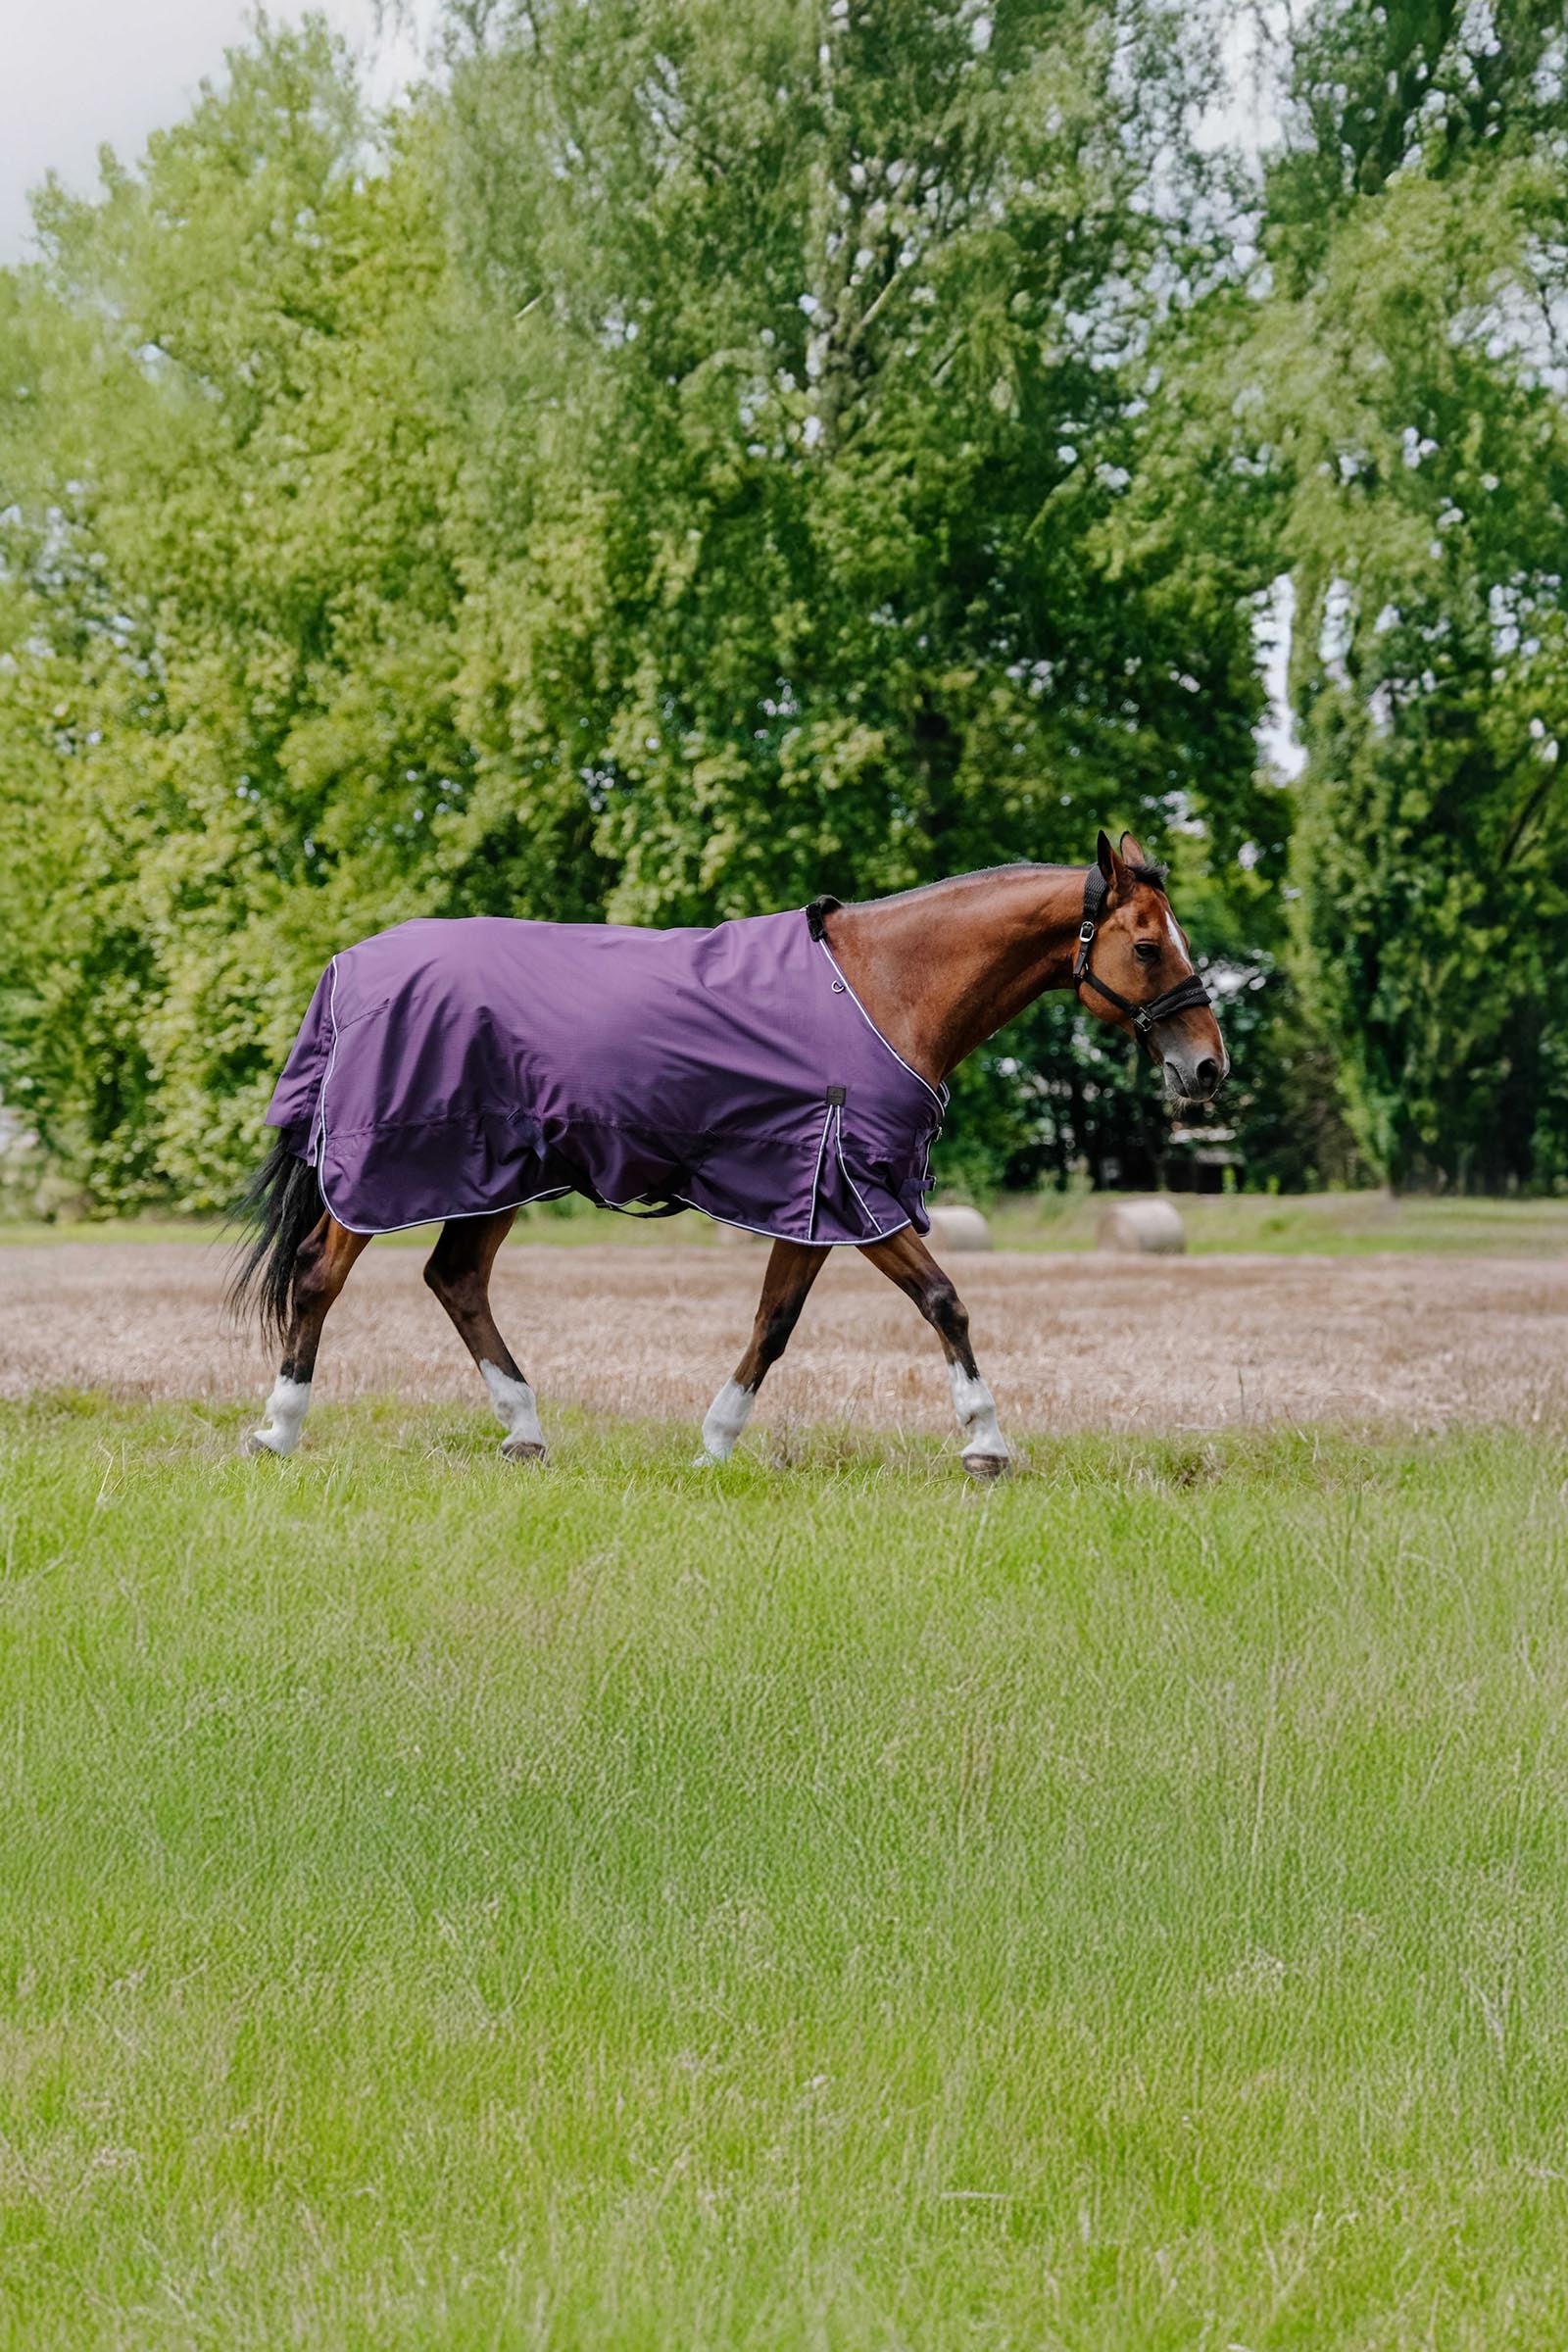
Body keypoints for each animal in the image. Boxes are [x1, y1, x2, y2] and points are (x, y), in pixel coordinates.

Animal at [230, 830, 1226, 1476]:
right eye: (1147, 945)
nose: (1208, 1067)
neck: (885, 986)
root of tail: (349, 969)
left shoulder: (812, 1196)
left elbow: (774, 1322)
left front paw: (715, 1441)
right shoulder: (857, 1192)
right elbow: (944, 1301)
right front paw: (985, 1441)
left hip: (496, 1175)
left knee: (456, 1280)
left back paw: (524, 1430)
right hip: (388, 1174)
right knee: (321, 1274)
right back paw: (279, 1429)